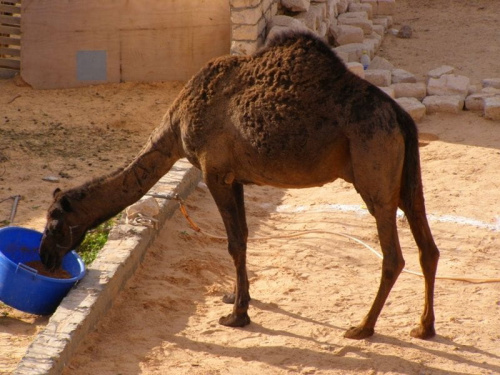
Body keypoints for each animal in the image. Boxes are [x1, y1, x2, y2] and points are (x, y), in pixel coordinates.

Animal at [41, 32, 440, 342]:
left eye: (54, 222)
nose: (44, 257)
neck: (178, 122)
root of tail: (400, 116)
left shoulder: (214, 172)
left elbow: (233, 243)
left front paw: (236, 315)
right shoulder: (237, 178)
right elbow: (244, 239)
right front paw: (235, 298)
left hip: (374, 168)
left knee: (393, 255)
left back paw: (362, 327)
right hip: (405, 176)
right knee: (427, 245)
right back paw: (423, 328)